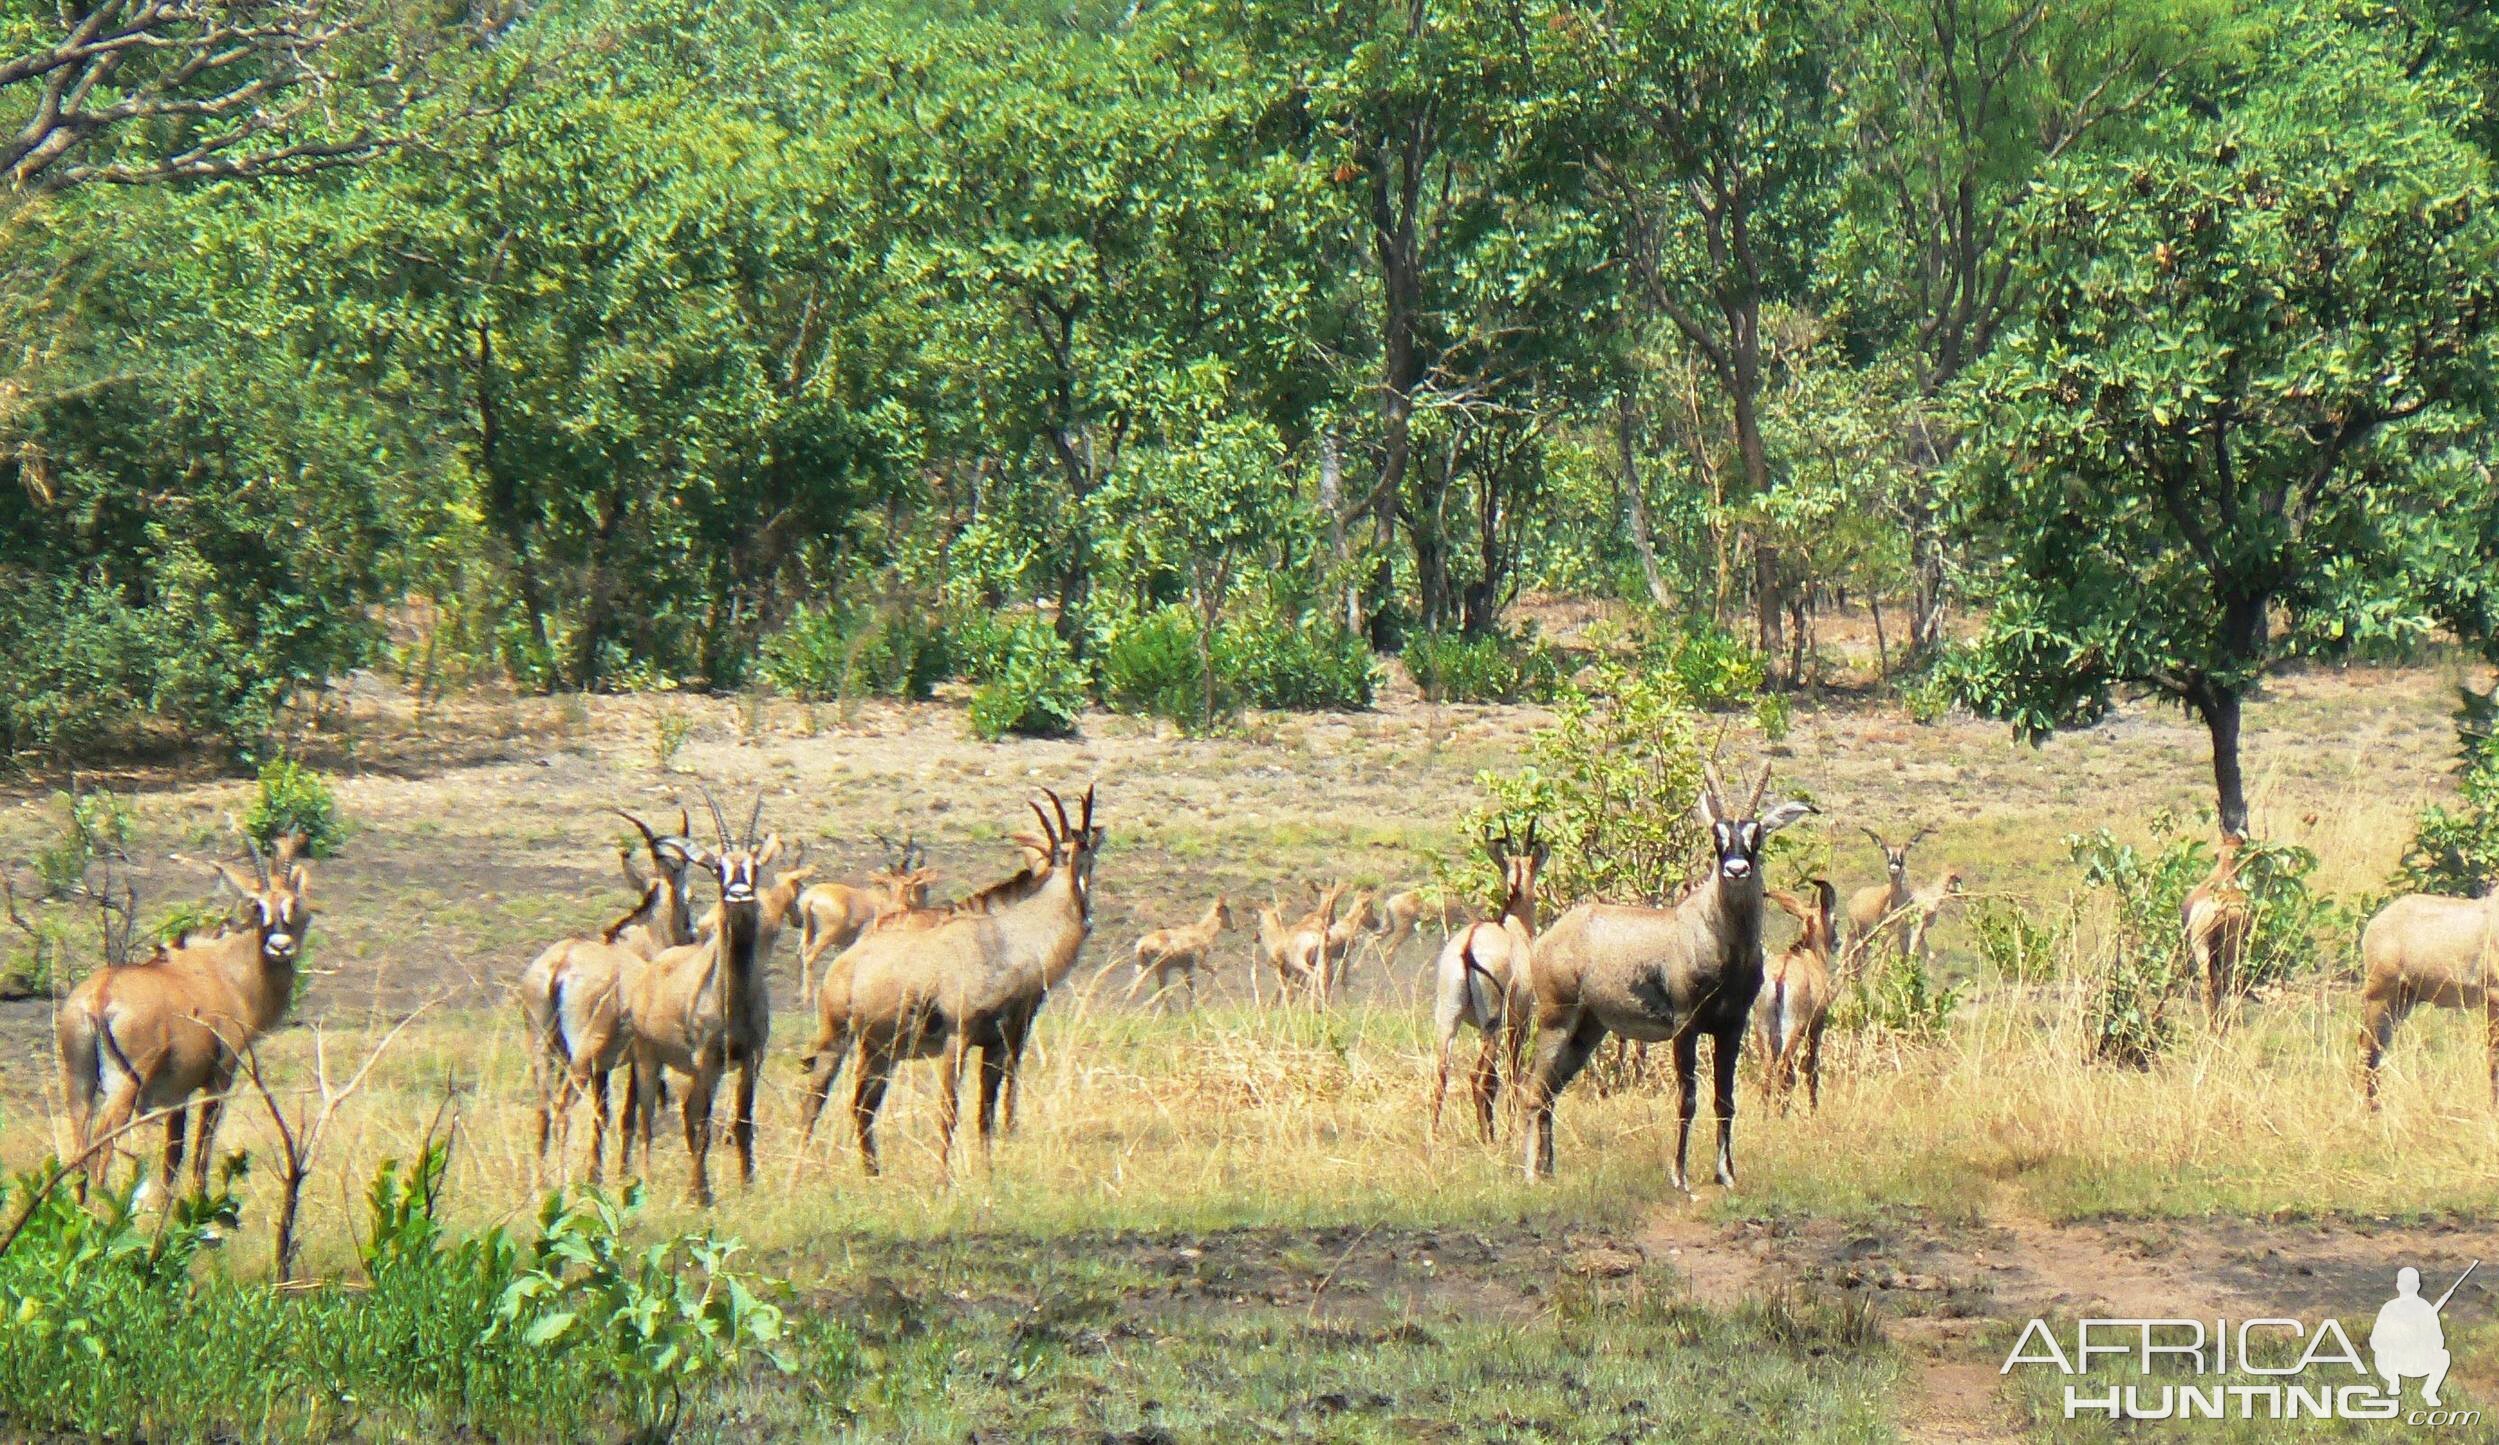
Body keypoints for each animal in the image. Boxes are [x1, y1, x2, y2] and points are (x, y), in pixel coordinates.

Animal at [56, 825, 312, 1200]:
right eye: (257, 906)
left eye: (295, 905)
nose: (280, 947)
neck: (225, 971)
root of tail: (101, 993)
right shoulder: (220, 1076)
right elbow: (201, 1146)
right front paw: (197, 1200)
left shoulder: (175, 1096)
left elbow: (171, 1159)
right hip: (124, 1083)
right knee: (101, 1144)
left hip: (79, 1081)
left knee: (78, 1149)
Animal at [1429, 820, 1539, 1135]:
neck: (1513, 930)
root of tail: (1468, 947)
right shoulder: (1519, 1024)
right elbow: (1513, 1076)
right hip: (1493, 1027)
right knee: (1481, 1078)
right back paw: (1489, 1137)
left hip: (1448, 1019)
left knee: (1440, 1075)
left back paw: (1433, 1138)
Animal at [1509, 765, 1809, 1180]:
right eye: (1716, 834)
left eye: (1756, 833)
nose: (1736, 869)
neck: (1717, 934)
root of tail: (1549, 937)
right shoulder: (1685, 1026)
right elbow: (1688, 1098)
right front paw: (1679, 1175)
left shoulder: (1732, 1026)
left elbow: (1725, 1099)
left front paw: (1726, 1174)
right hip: (1557, 1018)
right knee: (1532, 1088)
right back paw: (1529, 1174)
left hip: (1588, 1029)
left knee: (1551, 1089)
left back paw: (1548, 1168)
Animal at [1759, 880, 1839, 1100]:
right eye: (1836, 920)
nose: (1838, 942)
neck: (1811, 956)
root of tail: (1780, 976)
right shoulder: (1817, 1025)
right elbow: (1812, 1070)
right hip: (1793, 1030)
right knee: (1785, 1070)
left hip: (1764, 1030)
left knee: (1767, 1072)